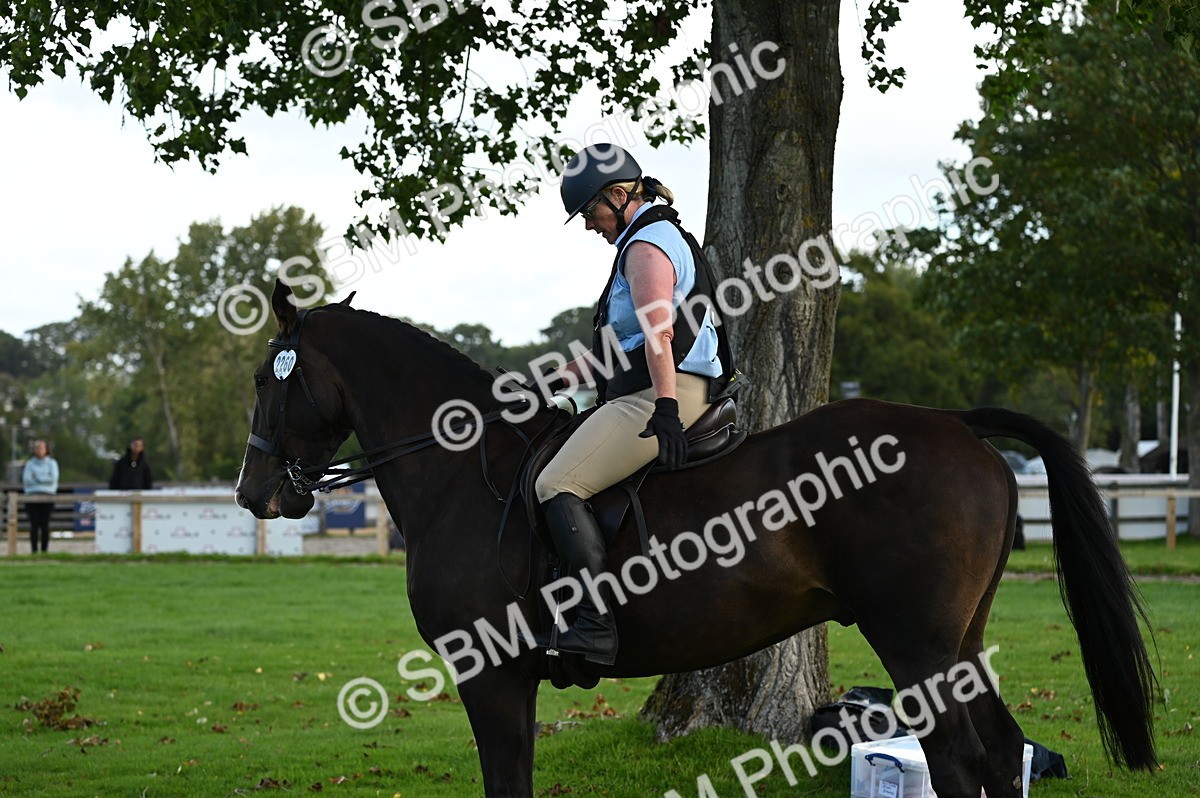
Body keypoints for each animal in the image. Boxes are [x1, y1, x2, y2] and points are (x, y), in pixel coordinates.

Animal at [234, 280, 1157, 797]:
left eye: (263, 379)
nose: (252, 491)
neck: (466, 472)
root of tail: (959, 426)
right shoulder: (510, 681)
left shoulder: (489, 676)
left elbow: (506, 782)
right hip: (959, 643)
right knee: (1000, 754)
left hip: (917, 643)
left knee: (961, 762)